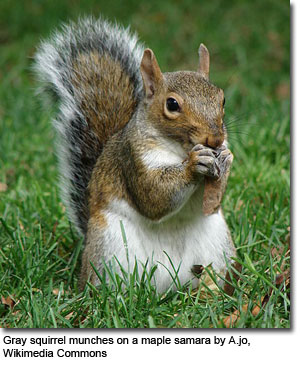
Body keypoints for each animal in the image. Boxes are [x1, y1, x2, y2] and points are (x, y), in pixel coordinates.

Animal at [34, 16, 237, 294]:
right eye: (172, 104)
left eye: (222, 99)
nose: (215, 139)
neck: (179, 149)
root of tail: (169, 286)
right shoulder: (132, 159)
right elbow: (154, 196)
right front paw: (193, 165)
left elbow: (212, 202)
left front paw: (225, 159)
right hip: (110, 247)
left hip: (217, 247)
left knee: (212, 276)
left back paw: (212, 292)